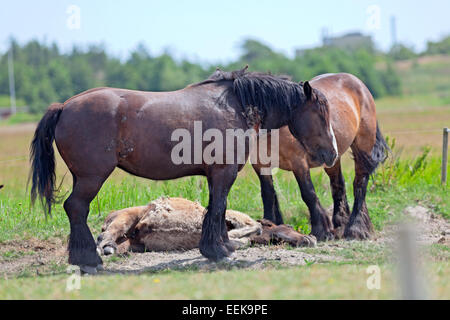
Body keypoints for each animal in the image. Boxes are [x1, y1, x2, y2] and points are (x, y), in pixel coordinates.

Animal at [29, 67, 338, 272]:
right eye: (320, 113)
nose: (332, 154)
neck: (235, 106)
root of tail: (64, 106)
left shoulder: (217, 174)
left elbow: (217, 210)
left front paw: (223, 246)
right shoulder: (224, 172)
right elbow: (217, 208)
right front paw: (218, 251)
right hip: (91, 178)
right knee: (76, 208)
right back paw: (89, 261)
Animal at [251, 73, 388, 240]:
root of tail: (358, 83)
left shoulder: (298, 162)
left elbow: (308, 193)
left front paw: (322, 231)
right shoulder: (259, 164)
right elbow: (268, 193)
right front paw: (269, 223)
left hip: (360, 147)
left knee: (360, 183)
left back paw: (356, 228)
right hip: (332, 160)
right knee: (338, 184)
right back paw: (342, 224)